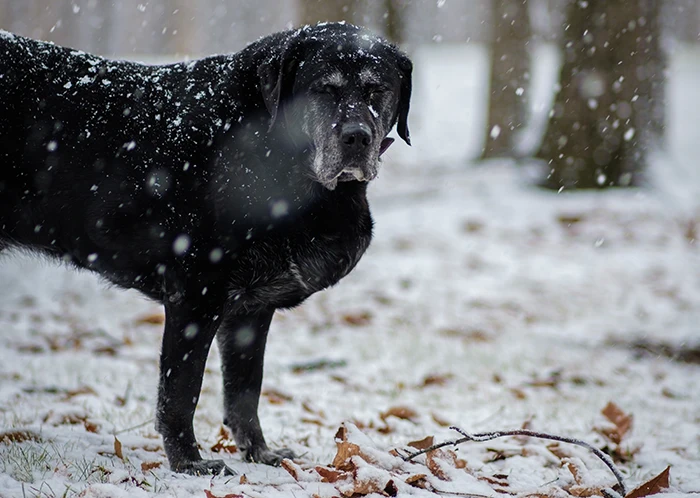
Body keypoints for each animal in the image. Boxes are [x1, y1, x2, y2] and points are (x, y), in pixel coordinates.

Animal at [0, 24, 410, 474]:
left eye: (376, 90)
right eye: (325, 89)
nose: (357, 136)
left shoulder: (251, 311)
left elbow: (245, 391)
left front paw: (260, 453)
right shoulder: (196, 295)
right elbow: (181, 391)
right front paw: (188, 463)